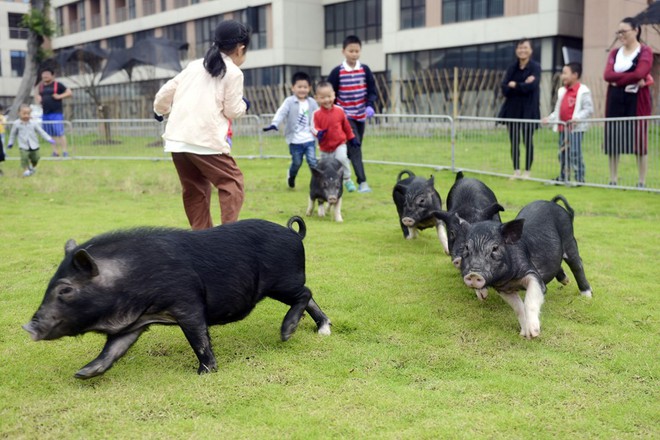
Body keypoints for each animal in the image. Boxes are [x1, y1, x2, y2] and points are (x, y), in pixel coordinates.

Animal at [23, 217, 332, 378]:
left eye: (65, 289)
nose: (28, 326)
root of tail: (293, 233)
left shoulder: (188, 305)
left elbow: (199, 339)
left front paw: (204, 373)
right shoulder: (133, 324)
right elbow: (112, 350)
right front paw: (83, 373)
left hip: (283, 282)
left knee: (306, 294)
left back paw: (286, 333)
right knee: (310, 298)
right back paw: (323, 331)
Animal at [458, 194, 592, 338]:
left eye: (495, 248)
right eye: (466, 248)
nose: (473, 274)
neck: (510, 280)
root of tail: (552, 203)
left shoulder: (532, 274)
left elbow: (530, 300)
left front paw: (534, 333)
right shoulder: (503, 289)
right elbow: (518, 308)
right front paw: (524, 334)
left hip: (570, 239)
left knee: (577, 264)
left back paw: (587, 295)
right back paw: (566, 281)